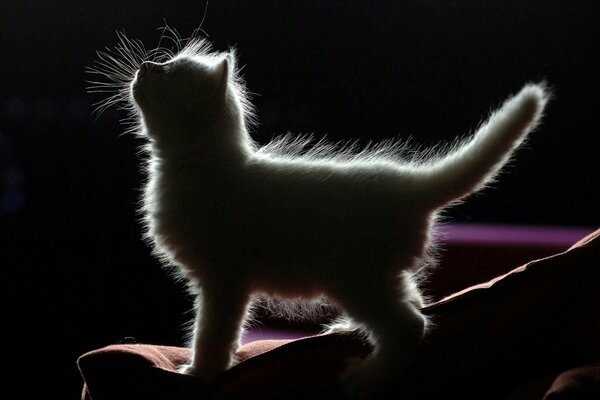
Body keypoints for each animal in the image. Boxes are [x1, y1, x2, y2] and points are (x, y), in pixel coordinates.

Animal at [90, 32, 548, 396]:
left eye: (167, 73)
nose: (145, 65)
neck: (198, 164)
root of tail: (409, 184)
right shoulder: (226, 278)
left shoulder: (224, 278)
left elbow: (213, 332)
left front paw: (200, 372)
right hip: (373, 273)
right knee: (416, 300)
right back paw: (348, 330)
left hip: (355, 275)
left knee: (410, 325)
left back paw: (369, 379)